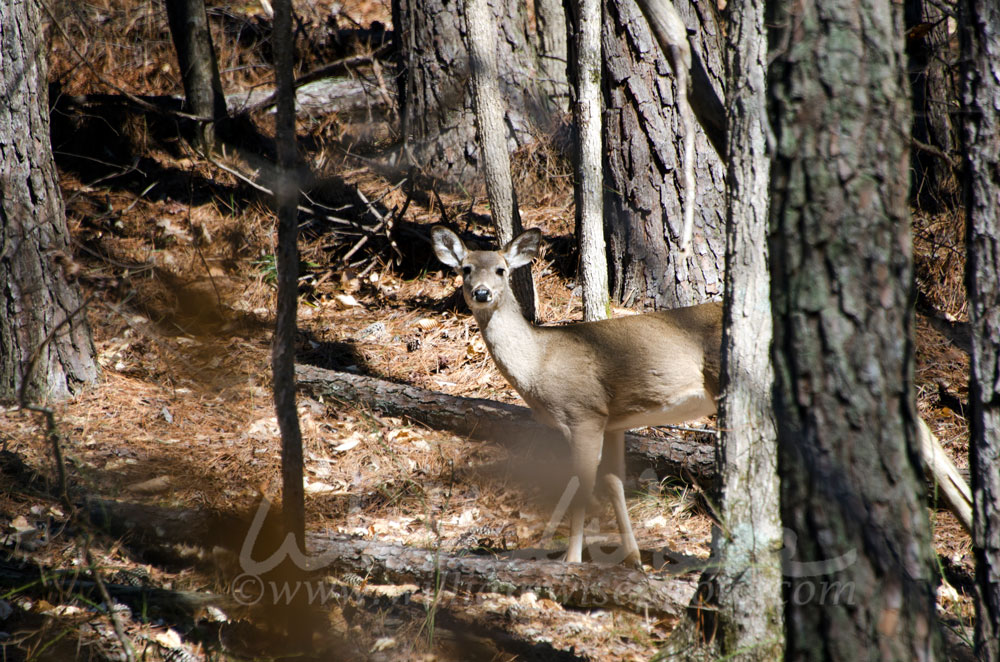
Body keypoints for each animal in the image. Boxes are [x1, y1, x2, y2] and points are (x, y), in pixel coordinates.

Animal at [434, 227, 724, 564]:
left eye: (501, 270)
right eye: (466, 268)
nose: (482, 293)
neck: (539, 362)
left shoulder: (584, 412)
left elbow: (581, 485)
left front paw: (571, 560)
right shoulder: (613, 421)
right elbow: (614, 483)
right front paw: (633, 558)